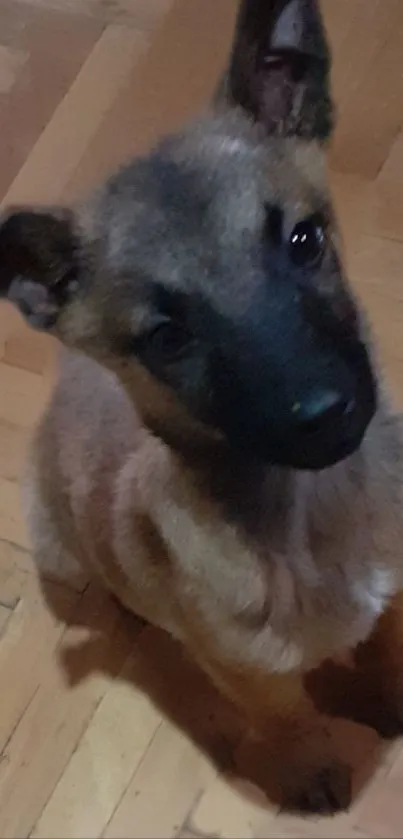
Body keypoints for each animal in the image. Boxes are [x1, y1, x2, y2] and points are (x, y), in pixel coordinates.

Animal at [0, 0, 403, 816]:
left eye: (305, 240)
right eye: (168, 337)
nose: (324, 412)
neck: (308, 515)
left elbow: (384, 642)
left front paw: (387, 698)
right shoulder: (246, 670)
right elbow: (285, 713)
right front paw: (309, 767)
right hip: (57, 546)